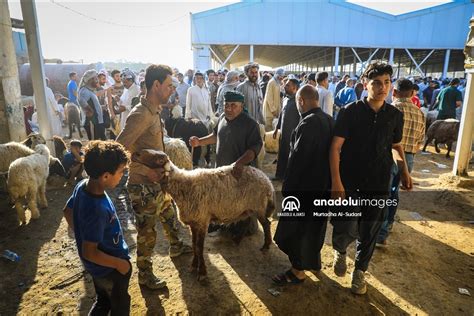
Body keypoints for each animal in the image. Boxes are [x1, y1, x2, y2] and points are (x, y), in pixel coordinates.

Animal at [131, 149, 276, 282]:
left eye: (159, 159)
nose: (134, 154)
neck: (184, 186)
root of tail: (267, 181)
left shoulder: (201, 221)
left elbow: (200, 248)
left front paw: (202, 272)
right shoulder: (193, 222)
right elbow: (194, 245)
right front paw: (194, 265)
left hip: (258, 206)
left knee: (266, 224)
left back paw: (265, 245)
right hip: (247, 208)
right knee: (246, 221)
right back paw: (238, 239)